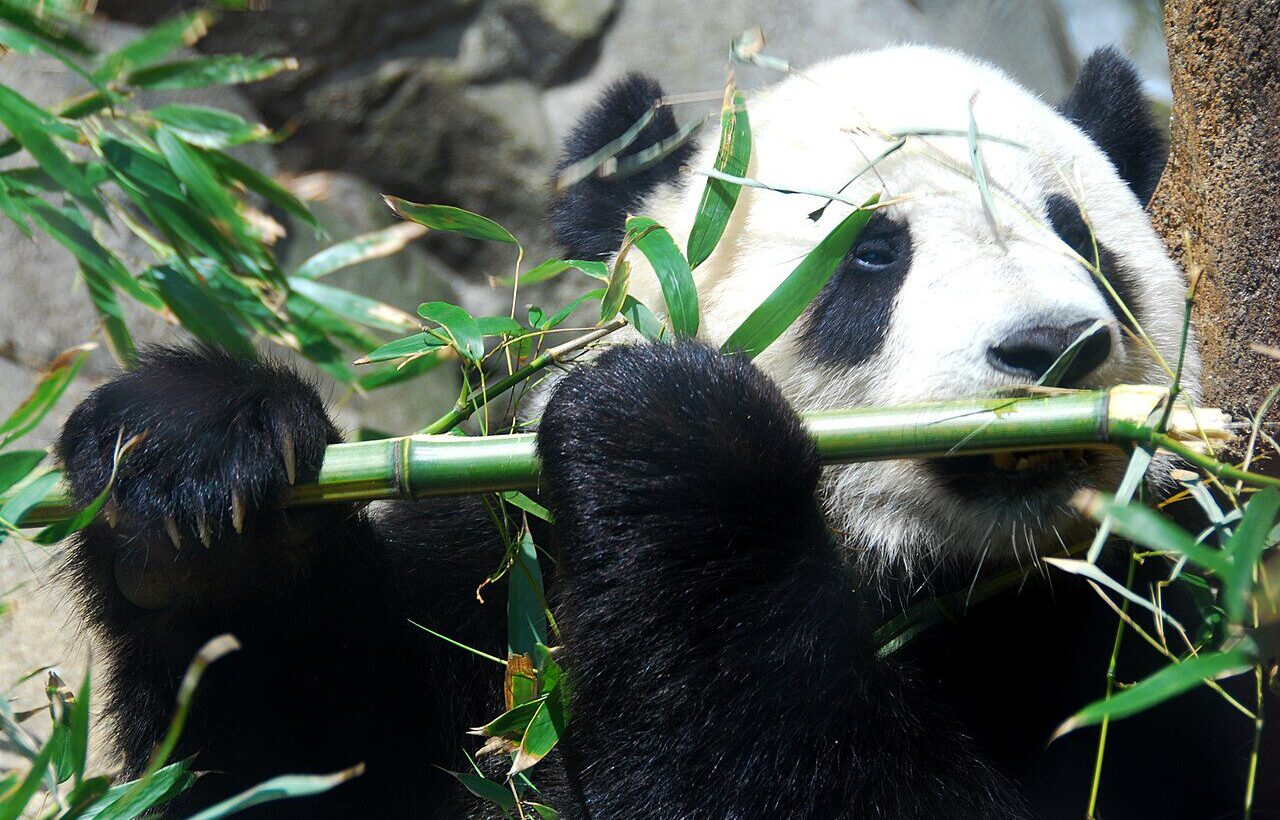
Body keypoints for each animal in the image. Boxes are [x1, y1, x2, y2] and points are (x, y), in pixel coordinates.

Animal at [54, 45, 1274, 819]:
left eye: (1083, 241)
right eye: (873, 255)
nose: (1052, 348)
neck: (927, 583)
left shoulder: (1170, 636)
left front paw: (677, 446)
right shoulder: (503, 596)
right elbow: (303, 762)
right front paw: (197, 483)